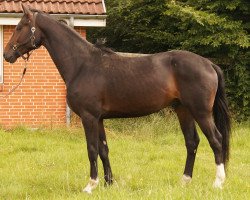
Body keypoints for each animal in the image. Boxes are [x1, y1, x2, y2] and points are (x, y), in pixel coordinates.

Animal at [3, 4, 230, 192]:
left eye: (20, 27)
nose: (6, 55)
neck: (82, 65)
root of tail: (209, 64)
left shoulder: (89, 117)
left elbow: (92, 149)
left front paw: (90, 185)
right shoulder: (99, 119)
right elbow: (104, 149)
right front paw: (109, 183)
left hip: (201, 112)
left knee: (216, 140)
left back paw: (218, 183)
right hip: (183, 110)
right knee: (192, 142)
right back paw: (184, 181)